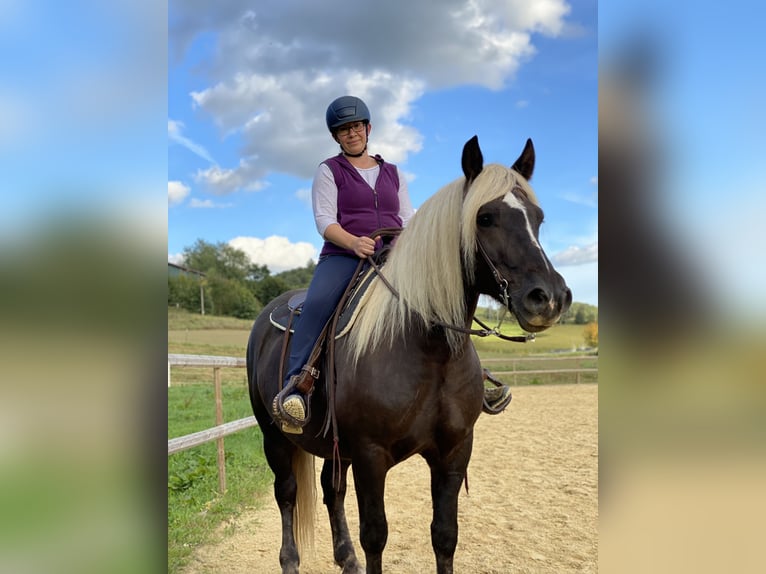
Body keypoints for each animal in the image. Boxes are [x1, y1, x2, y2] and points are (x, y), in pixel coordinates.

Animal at [246, 135, 572, 574]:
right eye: (485, 218)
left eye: (538, 218)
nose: (549, 298)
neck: (428, 352)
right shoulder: (371, 456)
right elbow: (375, 536)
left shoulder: (454, 453)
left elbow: (445, 535)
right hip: (275, 436)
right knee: (287, 493)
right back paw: (291, 561)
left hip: (333, 446)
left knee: (331, 490)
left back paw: (346, 559)